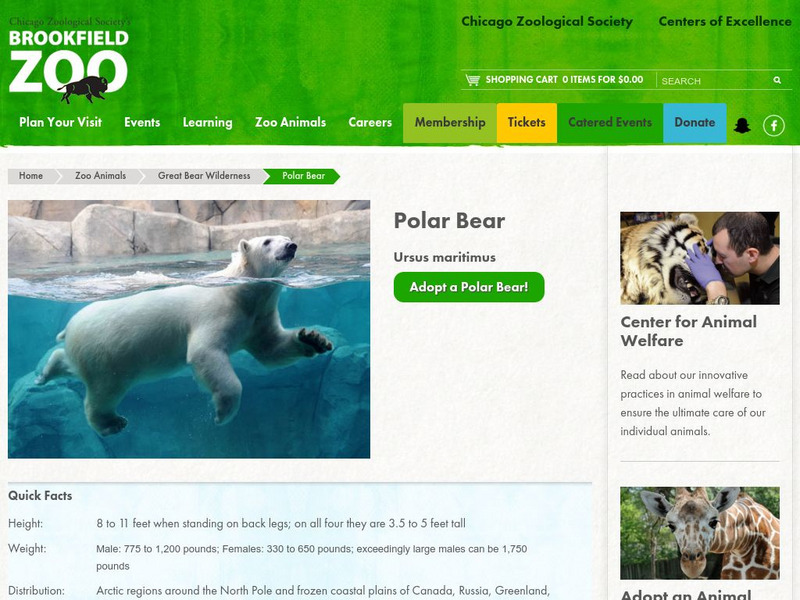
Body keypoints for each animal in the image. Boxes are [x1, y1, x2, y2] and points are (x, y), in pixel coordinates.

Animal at [36, 235, 333, 436]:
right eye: (268, 241)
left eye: (286, 236)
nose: (291, 245)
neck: (238, 291)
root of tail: (70, 327)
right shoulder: (216, 311)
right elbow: (205, 353)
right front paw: (222, 413)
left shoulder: (256, 319)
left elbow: (271, 349)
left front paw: (315, 339)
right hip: (106, 353)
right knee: (103, 392)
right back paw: (112, 423)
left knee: (68, 362)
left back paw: (44, 373)